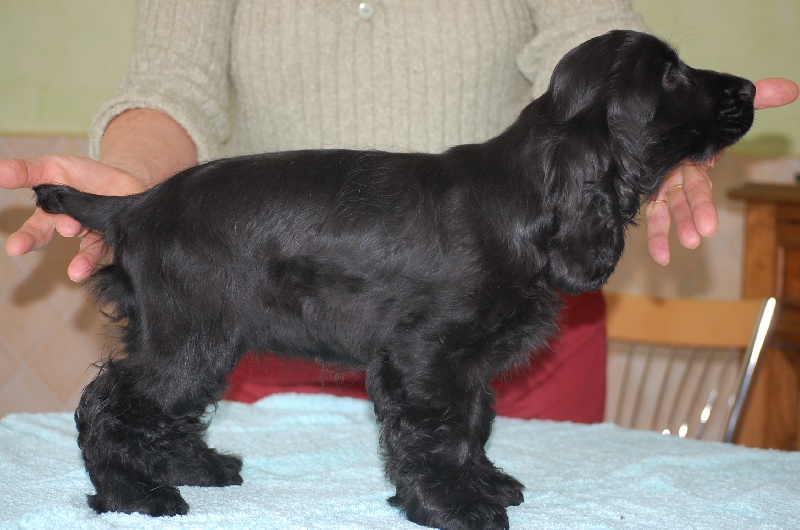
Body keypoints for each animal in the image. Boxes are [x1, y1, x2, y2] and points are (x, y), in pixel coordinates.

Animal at [32, 30, 754, 529]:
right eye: (670, 73)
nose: (749, 89)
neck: (524, 195)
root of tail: (134, 205)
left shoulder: (463, 363)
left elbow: (472, 423)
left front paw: (483, 483)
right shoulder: (423, 354)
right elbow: (437, 433)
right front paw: (452, 506)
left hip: (201, 341)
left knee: (158, 412)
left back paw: (195, 468)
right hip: (188, 337)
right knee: (107, 404)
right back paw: (134, 494)